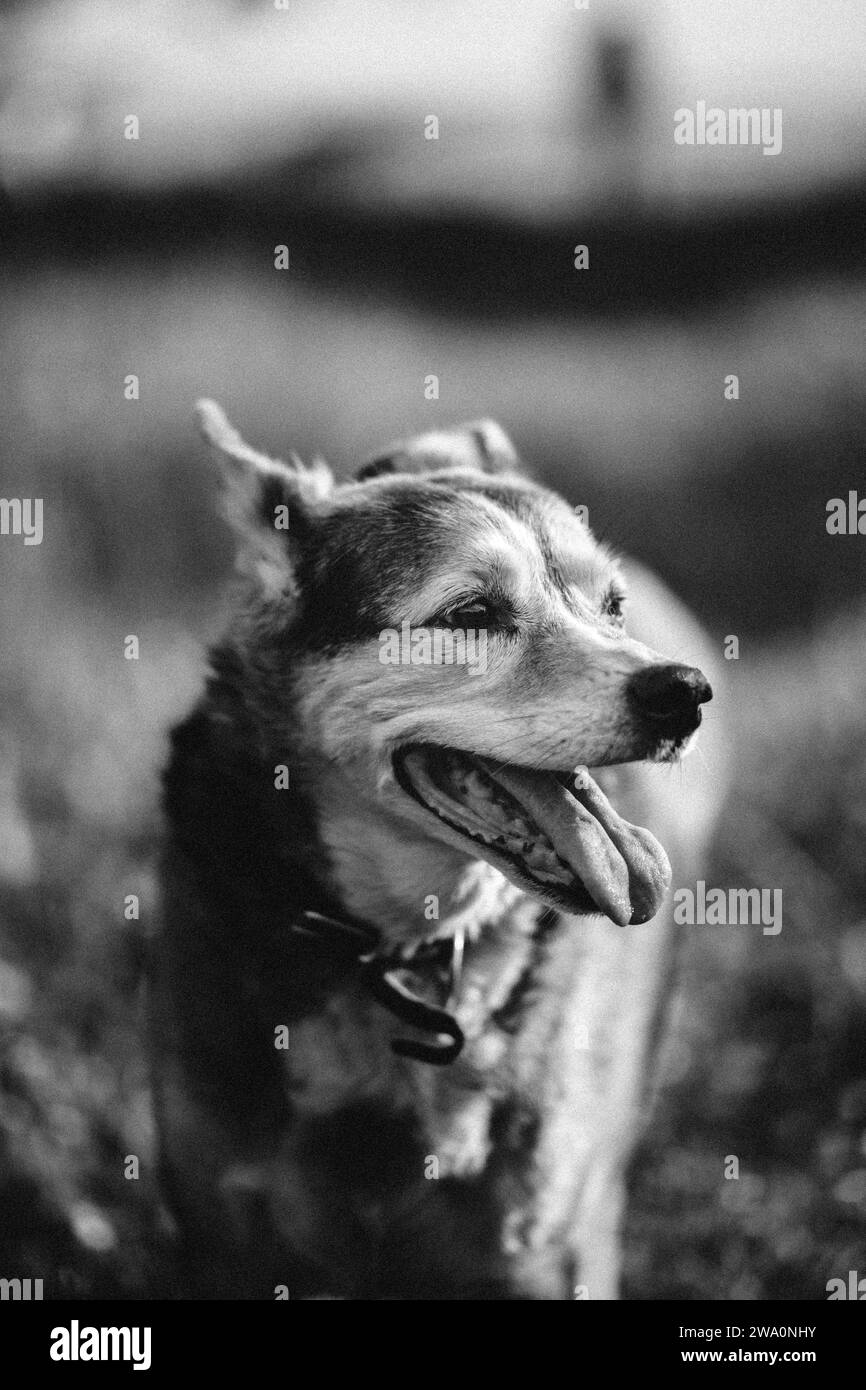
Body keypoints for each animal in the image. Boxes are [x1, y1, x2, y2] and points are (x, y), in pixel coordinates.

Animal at [150, 405, 722, 1301]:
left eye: (612, 606)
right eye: (471, 613)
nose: (685, 692)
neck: (400, 948)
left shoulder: (546, 1253)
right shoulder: (223, 1234)